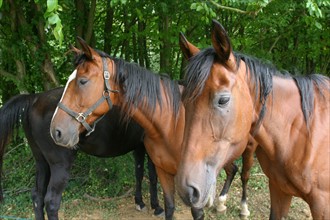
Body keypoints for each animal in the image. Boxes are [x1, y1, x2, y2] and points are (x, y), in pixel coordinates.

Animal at [0, 87, 165, 220]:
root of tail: (34, 98)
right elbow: (153, 176)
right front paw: (157, 207)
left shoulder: (139, 146)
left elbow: (139, 173)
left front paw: (140, 202)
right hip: (60, 165)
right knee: (51, 202)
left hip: (41, 162)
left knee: (37, 196)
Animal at [48, 37, 255, 219]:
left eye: (83, 81)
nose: (56, 131)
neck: (172, 124)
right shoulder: (163, 171)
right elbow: (169, 207)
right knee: (232, 169)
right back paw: (219, 203)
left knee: (243, 174)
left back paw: (242, 208)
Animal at [177, 19, 328, 219]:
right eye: (184, 100)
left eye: (223, 100)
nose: (187, 189)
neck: (301, 133)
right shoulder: (279, 190)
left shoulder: (322, 205)